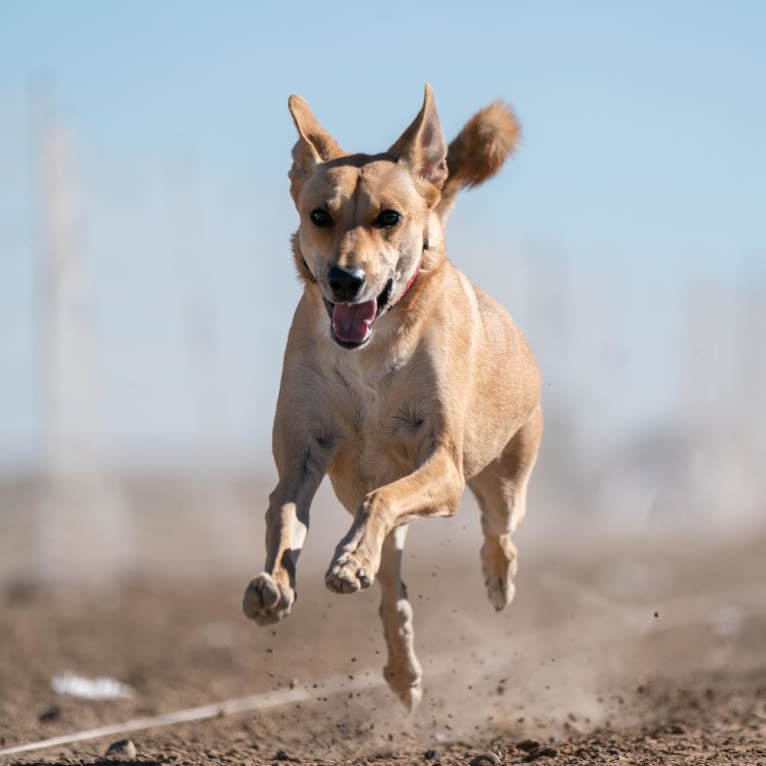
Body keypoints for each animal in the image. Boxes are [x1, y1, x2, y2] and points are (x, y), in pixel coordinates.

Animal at [243, 82, 544, 708]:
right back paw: (401, 667)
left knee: (498, 528)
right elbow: (283, 513)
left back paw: (496, 578)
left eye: (390, 217)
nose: (345, 280)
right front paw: (274, 585)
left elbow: (381, 501)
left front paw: (346, 561)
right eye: (320, 215)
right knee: (391, 588)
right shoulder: (303, 455)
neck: (371, 351)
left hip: (506, 477)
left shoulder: (443, 464)